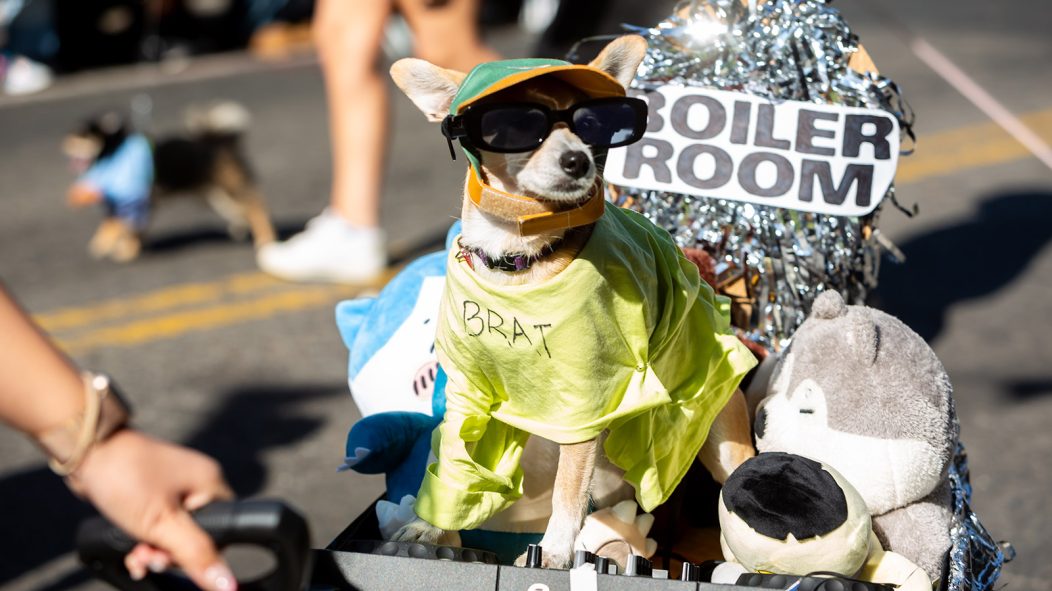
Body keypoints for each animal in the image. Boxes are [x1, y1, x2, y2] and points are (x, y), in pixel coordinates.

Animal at [387, 35, 757, 567]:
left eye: (591, 126)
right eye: (515, 125)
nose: (577, 160)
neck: (520, 262)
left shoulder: (587, 403)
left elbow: (566, 491)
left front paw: (555, 552)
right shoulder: (468, 396)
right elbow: (450, 467)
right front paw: (428, 528)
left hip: (722, 442)